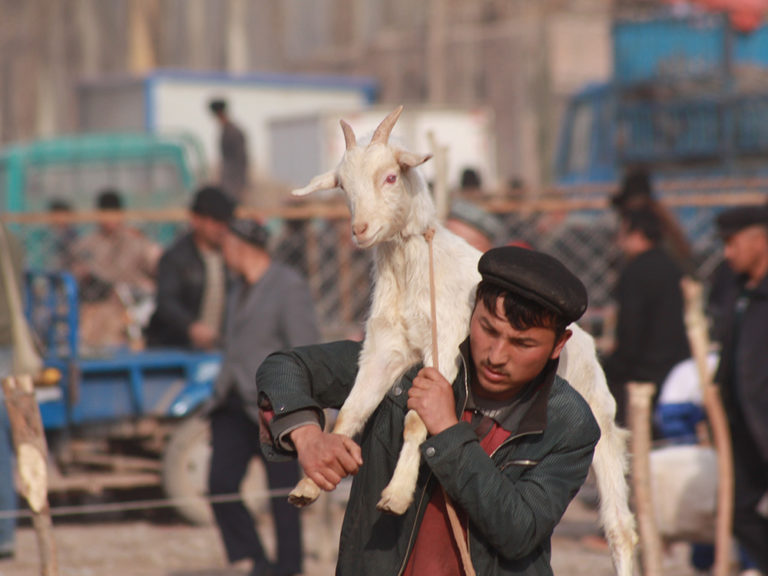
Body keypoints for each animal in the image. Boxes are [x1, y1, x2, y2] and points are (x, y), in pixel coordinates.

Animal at [288, 104, 636, 576]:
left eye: (391, 177)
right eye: (343, 186)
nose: (360, 229)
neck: (413, 269)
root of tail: (588, 342)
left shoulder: (445, 344)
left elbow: (418, 421)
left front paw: (397, 495)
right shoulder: (384, 350)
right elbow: (350, 414)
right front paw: (311, 480)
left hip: (601, 423)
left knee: (620, 526)